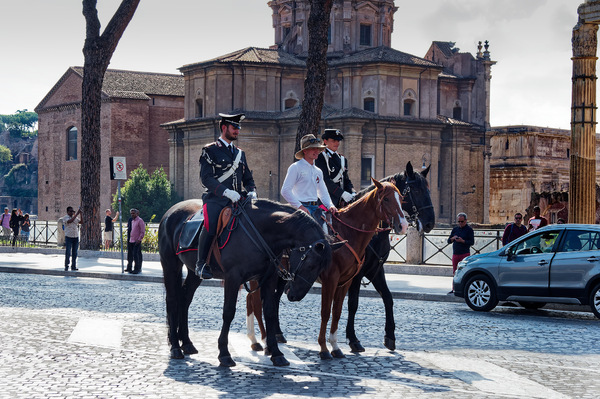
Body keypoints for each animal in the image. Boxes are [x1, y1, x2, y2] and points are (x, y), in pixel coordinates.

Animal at [159, 198, 332, 368]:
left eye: (321, 269)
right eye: (311, 265)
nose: (295, 296)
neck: (262, 232)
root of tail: (170, 212)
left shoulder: (269, 278)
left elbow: (269, 311)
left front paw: (276, 352)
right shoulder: (233, 278)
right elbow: (228, 312)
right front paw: (224, 354)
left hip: (194, 273)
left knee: (185, 299)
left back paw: (187, 343)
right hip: (170, 264)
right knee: (172, 300)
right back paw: (175, 347)